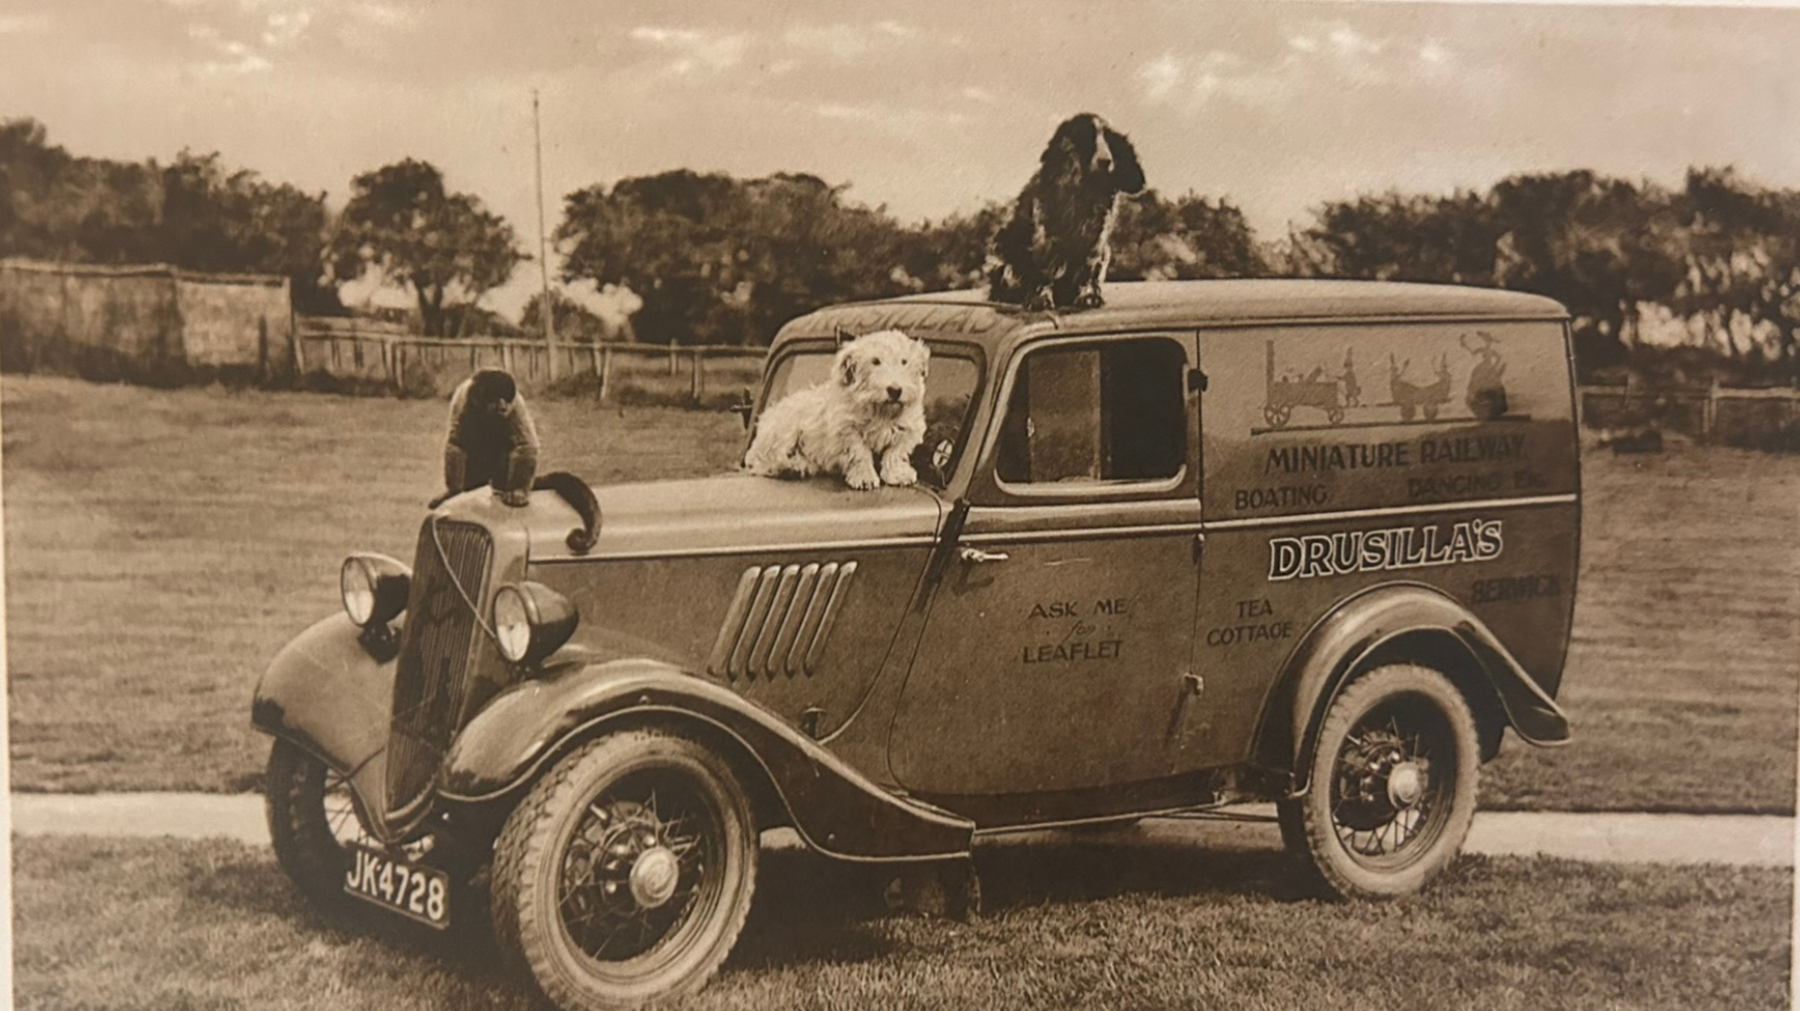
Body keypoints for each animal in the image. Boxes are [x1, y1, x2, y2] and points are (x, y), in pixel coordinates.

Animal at [430, 365, 601, 550]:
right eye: (497, 397)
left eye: (506, 398)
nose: (504, 405)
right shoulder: (463, 400)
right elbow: (457, 443)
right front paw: (452, 492)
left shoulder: (515, 404)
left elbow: (523, 444)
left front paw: (517, 493)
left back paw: (501, 487)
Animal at [745, 329, 928, 489]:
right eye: (875, 361)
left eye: (904, 362)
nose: (895, 390)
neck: (881, 410)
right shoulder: (847, 430)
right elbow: (860, 453)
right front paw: (864, 476)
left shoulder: (908, 429)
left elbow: (895, 453)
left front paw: (898, 474)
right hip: (785, 431)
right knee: (761, 461)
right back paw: (786, 467)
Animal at [993, 111, 1144, 309]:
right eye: (1086, 137)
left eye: (1108, 138)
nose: (1106, 161)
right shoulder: (1044, 238)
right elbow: (1043, 271)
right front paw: (1040, 298)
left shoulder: (1095, 241)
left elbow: (1088, 269)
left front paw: (1089, 295)